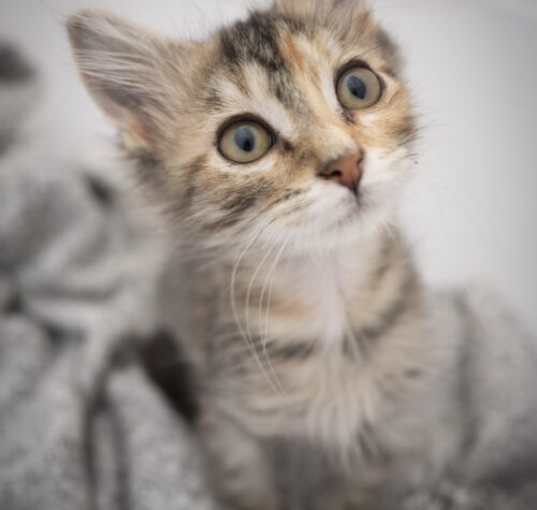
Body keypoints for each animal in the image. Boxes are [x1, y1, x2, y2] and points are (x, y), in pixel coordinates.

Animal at [67, 1, 536, 508]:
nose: (346, 163)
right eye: (245, 141)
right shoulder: (232, 429)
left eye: (357, 86)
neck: (333, 311)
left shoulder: (384, 432)